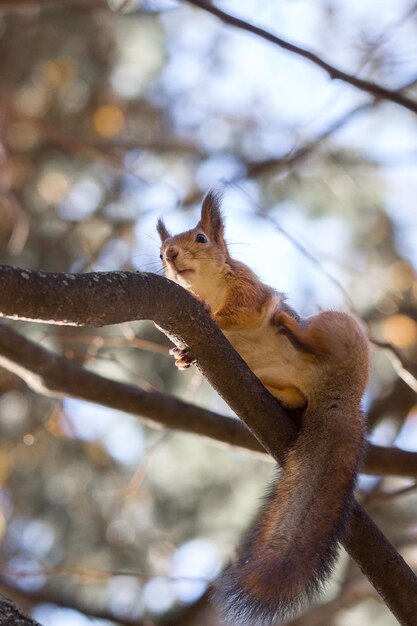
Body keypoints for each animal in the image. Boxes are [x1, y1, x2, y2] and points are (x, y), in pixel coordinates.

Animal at [155, 190, 368, 624]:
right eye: (160, 250)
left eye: (200, 238)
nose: (170, 254)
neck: (206, 287)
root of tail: (339, 394)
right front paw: (181, 355)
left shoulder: (247, 285)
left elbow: (244, 310)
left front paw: (214, 316)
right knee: (295, 396)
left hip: (337, 330)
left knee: (303, 327)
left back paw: (292, 326)